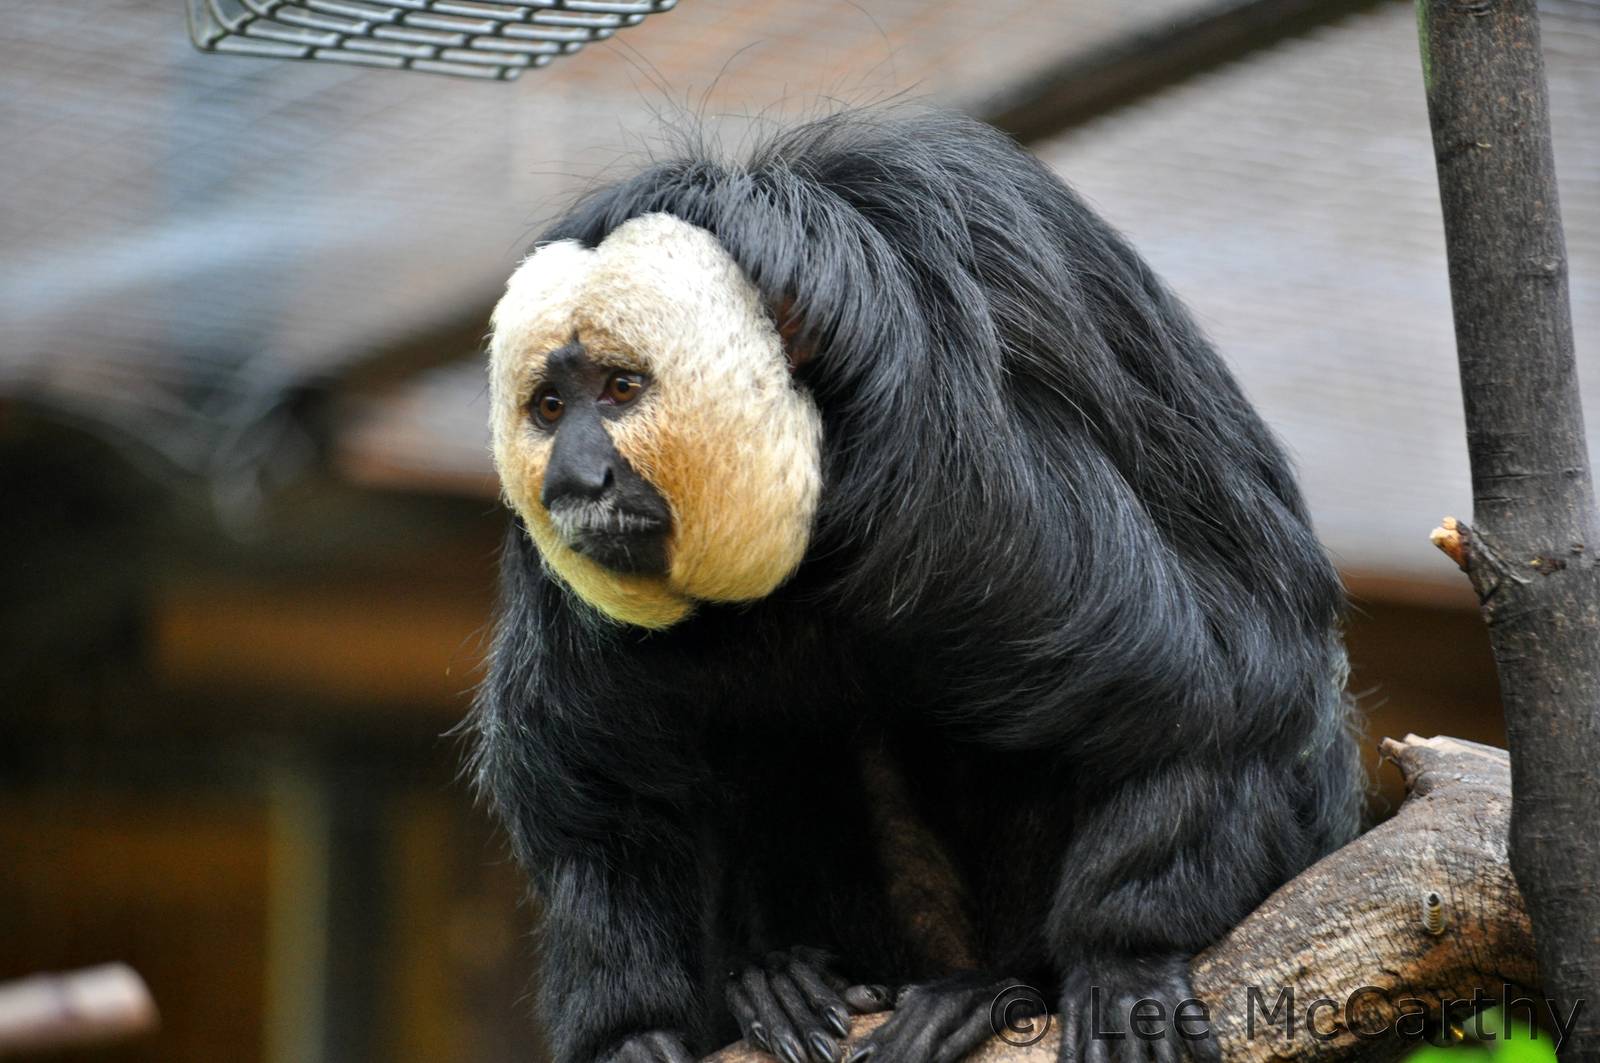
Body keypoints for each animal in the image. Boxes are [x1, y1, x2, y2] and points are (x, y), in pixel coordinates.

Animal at [469, 108, 1363, 1063]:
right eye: (550, 408)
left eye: (621, 389)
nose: (575, 479)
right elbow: (602, 803)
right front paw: (631, 1030)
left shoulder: (968, 480)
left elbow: (1199, 688)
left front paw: (1125, 952)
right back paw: (781, 979)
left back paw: (994, 987)